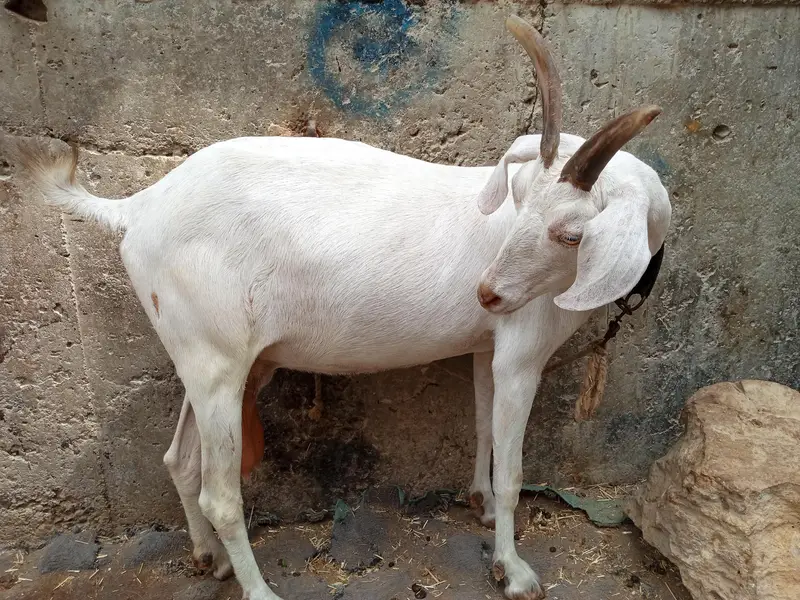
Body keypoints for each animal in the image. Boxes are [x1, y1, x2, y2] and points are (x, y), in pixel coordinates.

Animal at [8, 15, 670, 600]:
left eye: (570, 233)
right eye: (523, 197)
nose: (488, 293)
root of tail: (139, 207)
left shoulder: (489, 346)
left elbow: (483, 427)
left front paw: (479, 506)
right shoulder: (522, 353)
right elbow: (512, 473)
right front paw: (514, 570)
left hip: (211, 359)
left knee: (180, 460)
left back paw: (209, 558)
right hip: (216, 360)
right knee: (219, 492)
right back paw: (258, 589)